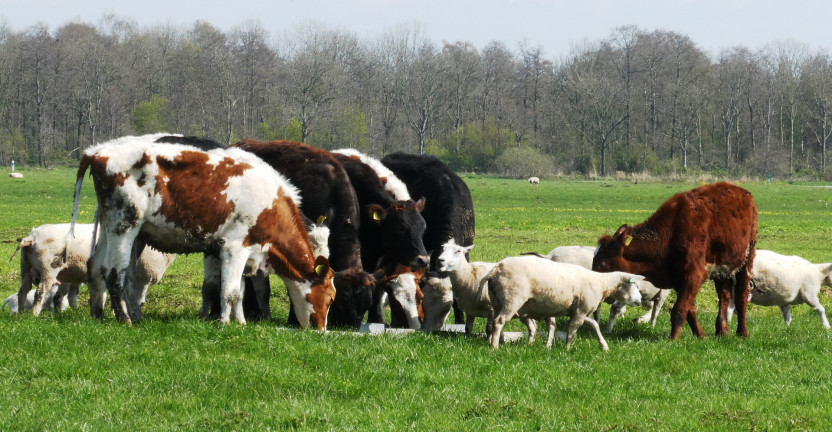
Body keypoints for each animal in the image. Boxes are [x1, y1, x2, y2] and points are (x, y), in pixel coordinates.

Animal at [9, 224, 176, 316]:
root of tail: (32, 237)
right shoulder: (142, 276)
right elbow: (136, 298)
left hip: (26, 269)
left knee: (23, 292)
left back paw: (21, 313)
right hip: (47, 269)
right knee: (40, 292)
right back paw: (33, 314)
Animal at [71, 132, 336, 328]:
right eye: (330, 297)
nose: (321, 329)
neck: (270, 202)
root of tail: (97, 152)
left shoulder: (244, 252)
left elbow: (240, 291)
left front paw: (240, 322)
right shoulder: (234, 248)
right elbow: (229, 291)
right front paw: (224, 323)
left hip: (111, 227)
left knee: (98, 268)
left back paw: (101, 314)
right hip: (124, 225)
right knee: (115, 273)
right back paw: (124, 318)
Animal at [588, 181, 756, 340]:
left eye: (603, 263)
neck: (670, 234)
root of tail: (743, 192)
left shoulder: (694, 275)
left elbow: (679, 309)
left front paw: (673, 338)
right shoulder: (677, 279)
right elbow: (689, 310)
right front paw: (700, 335)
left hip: (747, 258)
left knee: (741, 296)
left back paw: (742, 332)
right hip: (722, 268)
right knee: (724, 295)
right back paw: (722, 331)